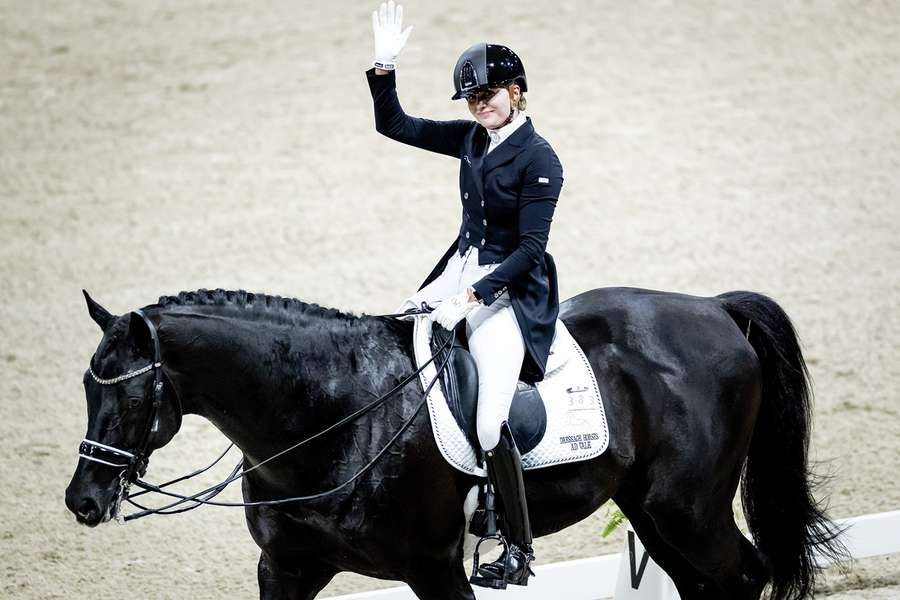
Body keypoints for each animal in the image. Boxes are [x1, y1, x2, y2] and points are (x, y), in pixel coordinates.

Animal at [65, 288, 844, 596]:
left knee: (742, 574)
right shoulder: (288, 568)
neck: (331, 416)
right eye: (85, 387)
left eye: (128, 394)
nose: (82, 501)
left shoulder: (434, 567)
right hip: (653, 514)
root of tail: (713, 309)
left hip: (688, 509)